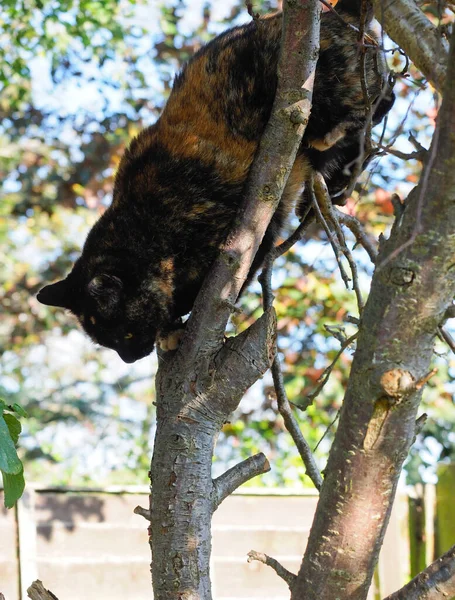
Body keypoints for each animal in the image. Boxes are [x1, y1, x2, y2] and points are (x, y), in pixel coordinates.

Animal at [38, 0, 396, 364]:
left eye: (123, 333)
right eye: (106, 343)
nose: (128, 358)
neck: (142, 219)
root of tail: (340, 13)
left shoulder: (249, 235)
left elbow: (226, 283)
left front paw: (175, 325)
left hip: (328, 87)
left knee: (380, 101)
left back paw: (331, 138)